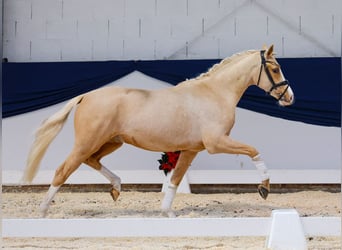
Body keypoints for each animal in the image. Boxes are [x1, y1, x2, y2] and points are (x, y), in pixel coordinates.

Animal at [22, 45, 294, 217]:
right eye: (275, 68)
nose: (289, 97)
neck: (214, 94)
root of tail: (86, 95)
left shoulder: (191, 149)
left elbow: (174, 180)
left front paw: (168, 212)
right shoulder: (216, 143)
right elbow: (254, 151)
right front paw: (264, 188)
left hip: (111, 142)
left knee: (92, 161)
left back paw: (116, 188)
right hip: (88, 142)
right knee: (63, 170)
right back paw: (43, 211)